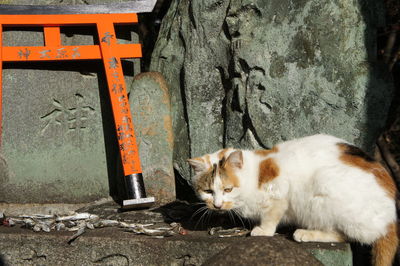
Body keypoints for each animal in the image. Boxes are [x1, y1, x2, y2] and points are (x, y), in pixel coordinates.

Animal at [189, 135, 398, 266]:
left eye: (228, 189)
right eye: (208, 191)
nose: (217, 205)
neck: (254, 174)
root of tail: (390, 219)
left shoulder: (281, 191)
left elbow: (272, 214)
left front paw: (263, 231)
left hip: (324, 186)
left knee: (343, 235)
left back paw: (306, 233)